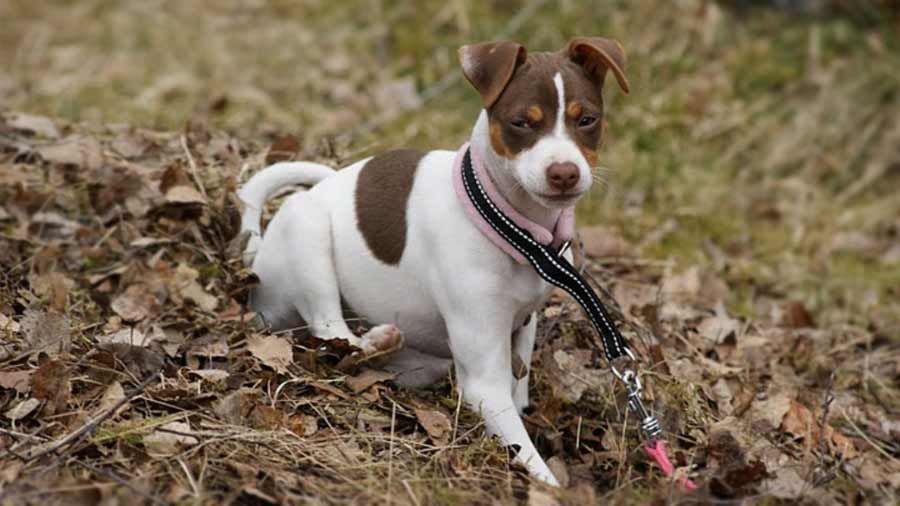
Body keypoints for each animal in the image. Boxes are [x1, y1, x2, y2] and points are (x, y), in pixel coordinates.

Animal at [241, 36, 632, 486]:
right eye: (520, 122)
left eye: (587, 120)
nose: (564, 173)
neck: (509, 225)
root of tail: (256, 254)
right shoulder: (483, 381)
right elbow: (524, 448)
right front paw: (548, 483)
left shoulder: (523, 323)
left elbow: (518, 390)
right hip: (307, 236)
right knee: (329, 331)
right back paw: (372, 340)